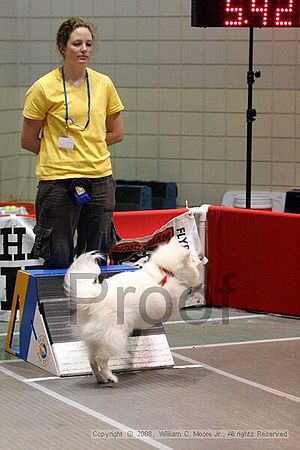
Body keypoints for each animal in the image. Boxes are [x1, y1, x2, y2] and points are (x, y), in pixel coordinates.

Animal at [64, 236, 203, 384]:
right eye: (193, 257)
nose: (201, 257)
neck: (166, 271)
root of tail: (95, 295)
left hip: (93, 340)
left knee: (92, 361)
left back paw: (100, 378)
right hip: (115, 337)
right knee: (101, 360)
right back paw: (110, 377)